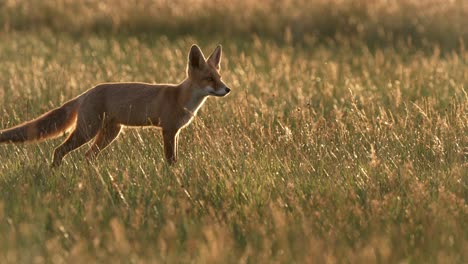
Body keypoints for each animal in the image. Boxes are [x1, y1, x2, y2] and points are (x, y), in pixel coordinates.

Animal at [0, 44, 230, 166]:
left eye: (219, 77)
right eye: (210, 79)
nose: (227, 89)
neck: (181, 98)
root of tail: (86, 93)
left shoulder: (176, 132)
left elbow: (175, 158)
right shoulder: (168, 130)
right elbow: (170, 160)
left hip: (109, 133)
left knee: (87, 156)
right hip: (88, 131)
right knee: (59, 150)